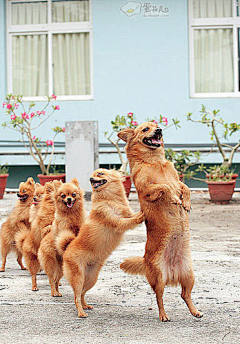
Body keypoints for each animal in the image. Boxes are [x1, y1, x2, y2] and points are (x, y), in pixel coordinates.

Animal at [62, 169, 144, 318]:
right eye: (92, 177)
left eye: (100, 173)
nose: (90, 179)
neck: (109, 199)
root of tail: (66, 250)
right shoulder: (118, 221)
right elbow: (131, 220)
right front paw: (144, 214)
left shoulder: (126, 215)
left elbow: (132, 216)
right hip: (78, 277)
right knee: (76, 296)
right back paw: (81, 312)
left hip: (91, 278)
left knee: (82, 293)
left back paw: (85, 305)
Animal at [118, 122, 202, 322]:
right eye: (145, 129)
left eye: (156, 125)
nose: (159, 130)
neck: (154, 161)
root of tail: (172, 272)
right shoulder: (147, 190)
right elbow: (164, 187)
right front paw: (175, 199)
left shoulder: (177, 180)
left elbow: (185, 187)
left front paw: (186, 203)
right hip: (159, 277)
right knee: (159, 297)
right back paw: (163, 315)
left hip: (189, 275)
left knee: (184, 295)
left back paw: (195, 311)